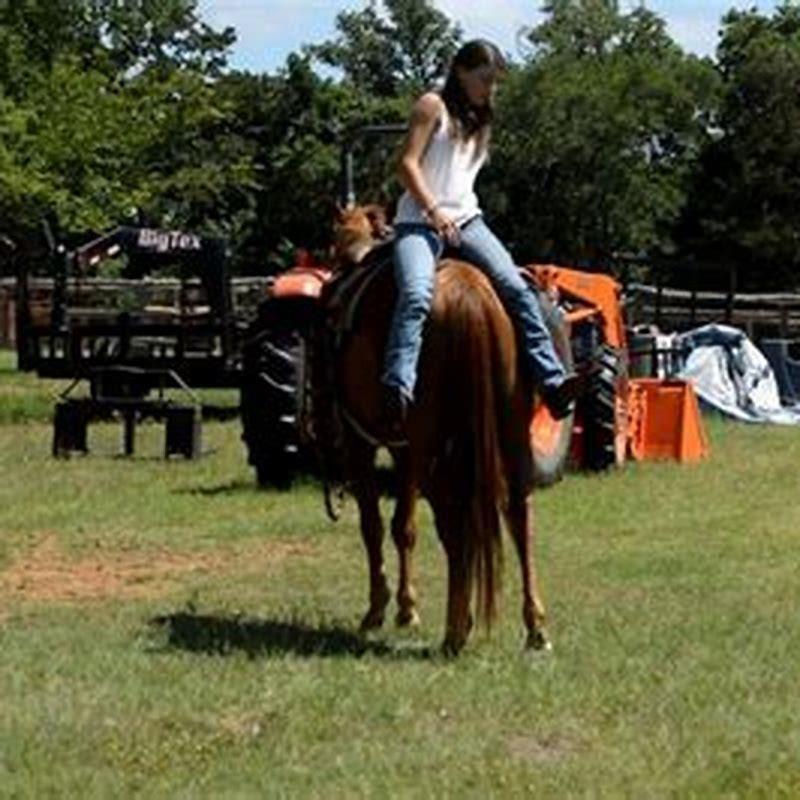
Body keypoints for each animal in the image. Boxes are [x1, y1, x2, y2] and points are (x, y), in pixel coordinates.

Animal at [322, 203, 548, 652]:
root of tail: (470, 294)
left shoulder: (362, 440)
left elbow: (373, 525)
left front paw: (377, 611)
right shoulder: (405, 448)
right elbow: (404, 527)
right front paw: (407, 609)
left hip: (434, 448)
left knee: (453, 522)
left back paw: (456, 631)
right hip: (507, 435)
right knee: (519, 514)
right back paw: (533, 627)